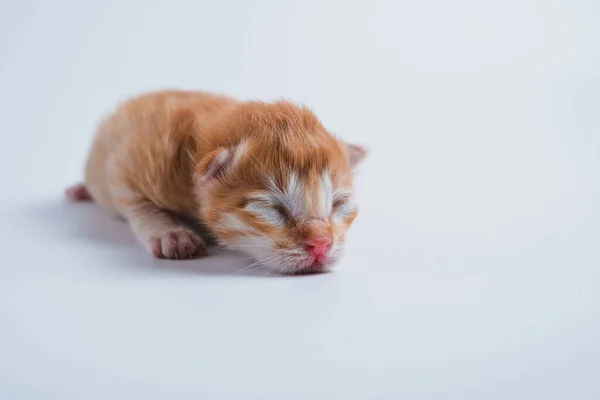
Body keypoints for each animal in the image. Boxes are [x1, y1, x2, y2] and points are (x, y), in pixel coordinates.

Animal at [65, 89, 366, 274]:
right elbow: (138, 204)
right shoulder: (130, 162)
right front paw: (170, 234)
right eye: (272, 208)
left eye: (338, 204)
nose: (321, 244)